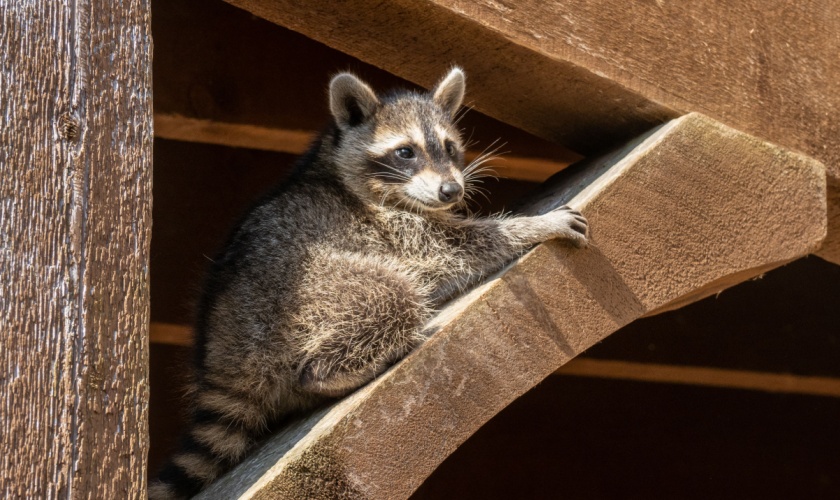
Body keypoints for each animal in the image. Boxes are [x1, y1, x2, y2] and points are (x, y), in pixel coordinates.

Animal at [149, 67, 588, 499]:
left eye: (449, 147)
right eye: (405, 152)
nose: (452, 190)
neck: (334, 162)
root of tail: (222, 354)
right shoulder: (387, 227)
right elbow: (453, 251)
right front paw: (532, 225)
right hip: (302, 299)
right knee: (392, 293)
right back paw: (339, 369)